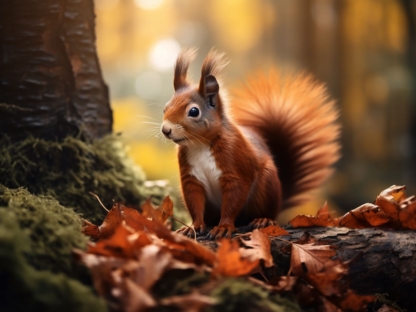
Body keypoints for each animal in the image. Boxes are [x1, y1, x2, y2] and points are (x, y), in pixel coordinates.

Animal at [161, 48, 340, 239]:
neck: (200, 145)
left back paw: (263, 220)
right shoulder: (191, 178)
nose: (166, 130)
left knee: (267, 213)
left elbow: (233, 198)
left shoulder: (235, 164)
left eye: (194, 111)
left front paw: (224, 226)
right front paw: (193, 226)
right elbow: (194, 202)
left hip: (266, 186)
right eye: (165, 107)